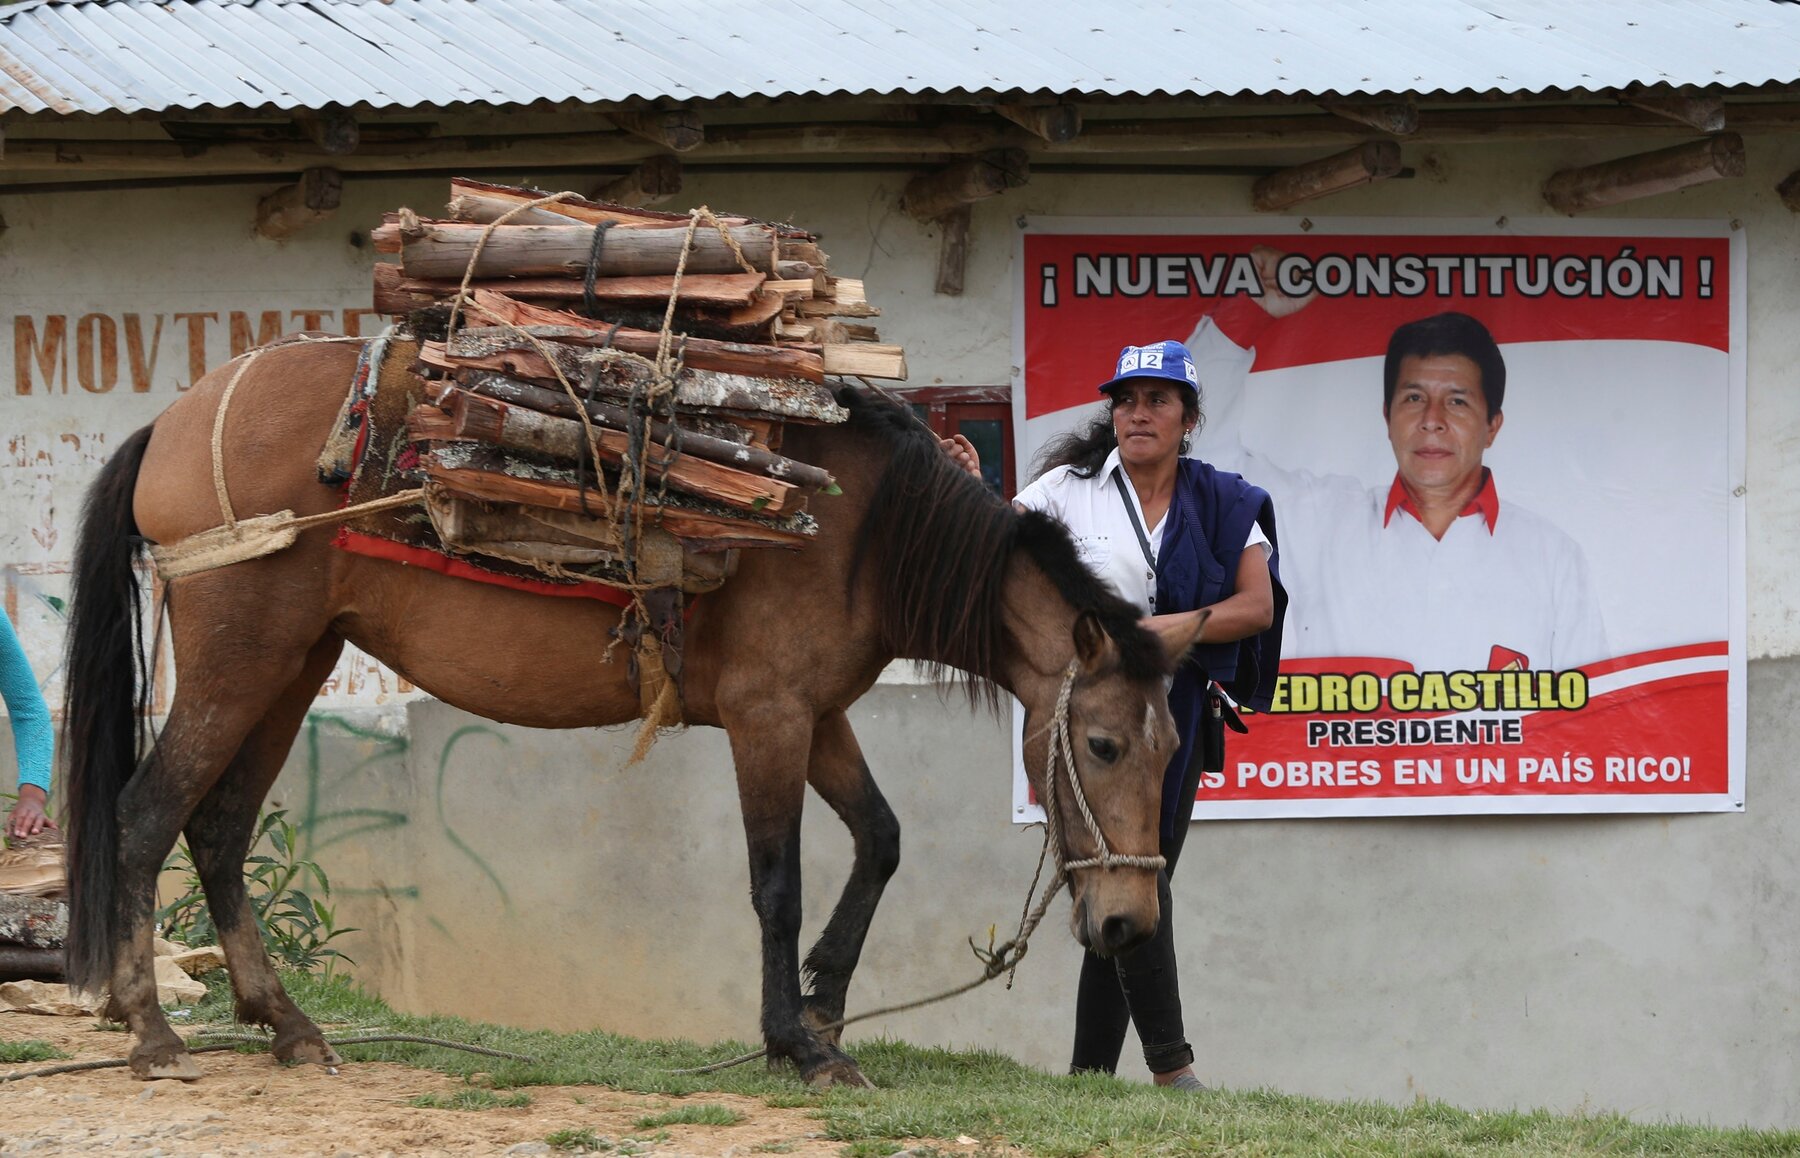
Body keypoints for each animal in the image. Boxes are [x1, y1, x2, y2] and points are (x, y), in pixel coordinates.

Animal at [63, 334, 1202, 1087]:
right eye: (1102, 744)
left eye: (1170, 751)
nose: (1129, 922)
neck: (863, 537)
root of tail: (174, 420)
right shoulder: (768, 719)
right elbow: (778, 885)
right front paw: (797, 1042)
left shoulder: (818, 715)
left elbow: (880, 839)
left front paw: (827, 1005)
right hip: (239, 662)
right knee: (144, 815)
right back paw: (153, 1032)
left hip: (292, 663)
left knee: (217, 828)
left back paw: (287, 1024)